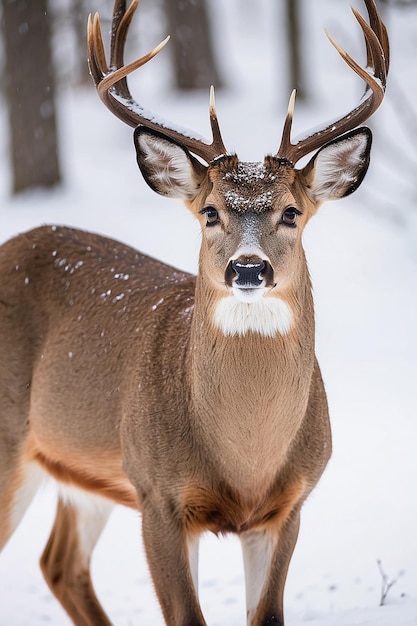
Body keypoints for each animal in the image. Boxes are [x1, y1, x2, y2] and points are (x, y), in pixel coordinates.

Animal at [1, 0, 388, 620]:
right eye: (210, 211)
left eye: (291, 212)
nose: (249, 269)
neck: (246, 464)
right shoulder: (156, 492)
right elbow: (187, 615)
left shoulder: (289, 505)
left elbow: (268, 614)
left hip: (82, 473)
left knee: (60, 563)